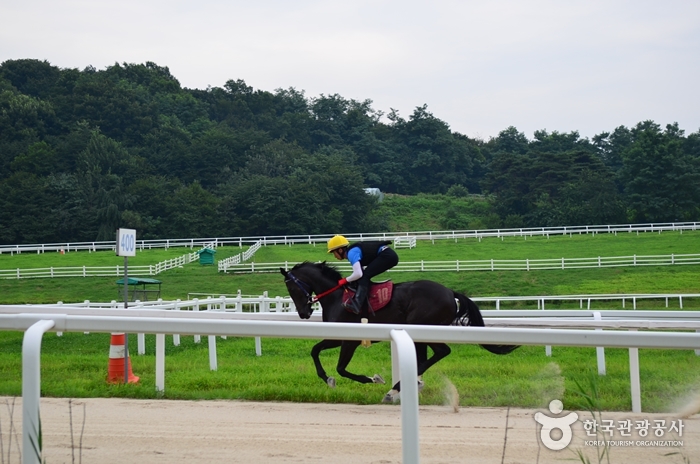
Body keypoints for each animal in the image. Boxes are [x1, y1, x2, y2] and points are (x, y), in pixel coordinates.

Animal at [280, 260, 520, 402]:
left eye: (290, 288)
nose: (303, 313)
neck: (338, 297)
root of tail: (449, 292)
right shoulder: (337, 336)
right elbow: (315, 350)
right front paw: (327, 379)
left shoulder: (350, 339)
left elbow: (341, 368)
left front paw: (374, 378)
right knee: (426, 357)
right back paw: (410, 385)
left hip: (425, 326)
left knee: (442, 352)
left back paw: (395, 388)